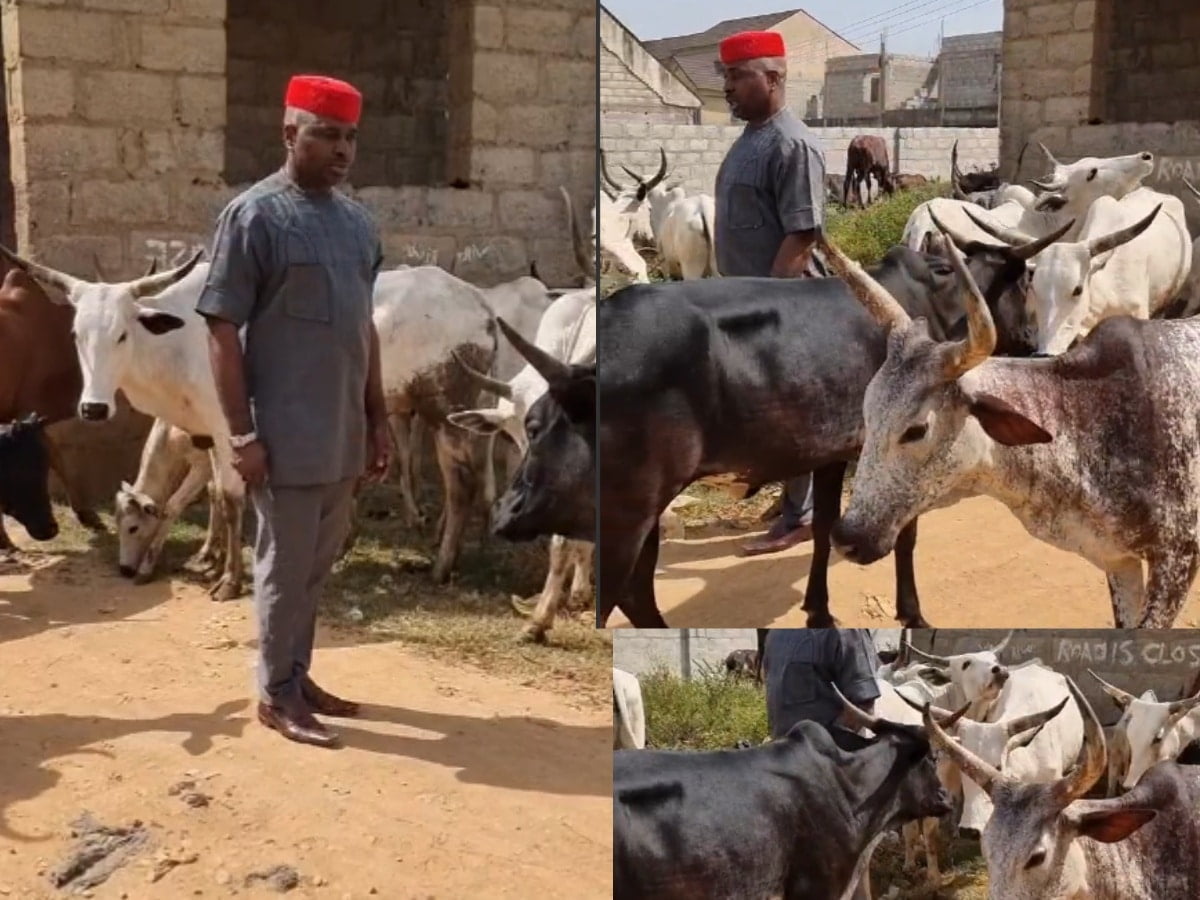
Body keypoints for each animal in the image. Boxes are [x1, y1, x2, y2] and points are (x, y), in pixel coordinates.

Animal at [597, 243, 1041, 628]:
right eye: (1024, 283)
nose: (1033, 341)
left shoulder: (832, 453)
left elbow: (825, 527)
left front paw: (818, 610)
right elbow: (905, 535)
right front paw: (912, 613)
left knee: (633, 593)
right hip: (632, 509)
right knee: (623, 591)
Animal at [825, 225, 1200, 628]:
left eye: (916, 430)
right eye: (868, 413)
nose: (847, 537)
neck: (1086, 414)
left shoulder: (1178, 557)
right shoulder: (1119, 560)